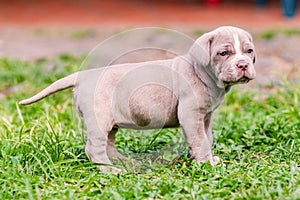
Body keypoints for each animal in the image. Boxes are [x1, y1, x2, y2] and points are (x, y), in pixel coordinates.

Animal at [20, 25, 255, 173]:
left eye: (249, 51)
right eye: (224, 53)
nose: (243, 64)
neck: (202, 72)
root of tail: (82, 76)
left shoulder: (205, 116)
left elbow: (206, 138)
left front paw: (206, 159)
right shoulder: (191, 114)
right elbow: (200, 140)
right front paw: (207, 163)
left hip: (109, 120)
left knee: (108, 143)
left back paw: (122, 161)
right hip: (99, 117)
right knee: (94, 148)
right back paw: (109, 170)